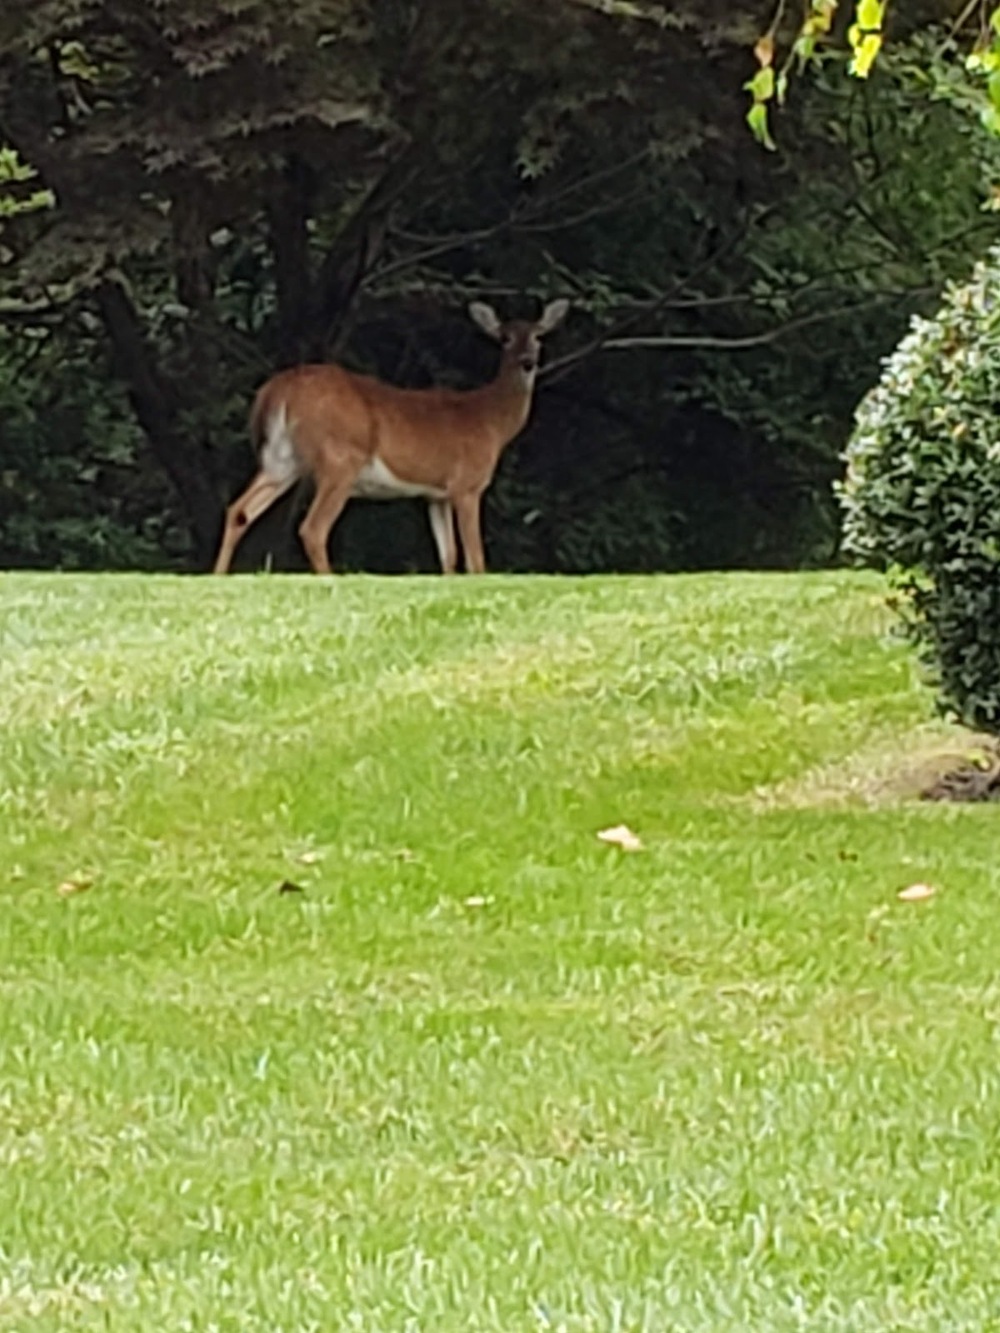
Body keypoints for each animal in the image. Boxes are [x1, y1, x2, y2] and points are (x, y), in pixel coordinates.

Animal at [212, 299, 570, 575]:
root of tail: (277, 391)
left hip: (282, 460)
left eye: (538, 336)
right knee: (312, 528)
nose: (528, 362)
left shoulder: (435, 494)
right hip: (340, 458)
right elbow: (475, 560)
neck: (491, 422)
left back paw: (218, 575)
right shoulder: (467, 484)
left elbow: (449, 558)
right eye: (505, 338)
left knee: (239, 510)